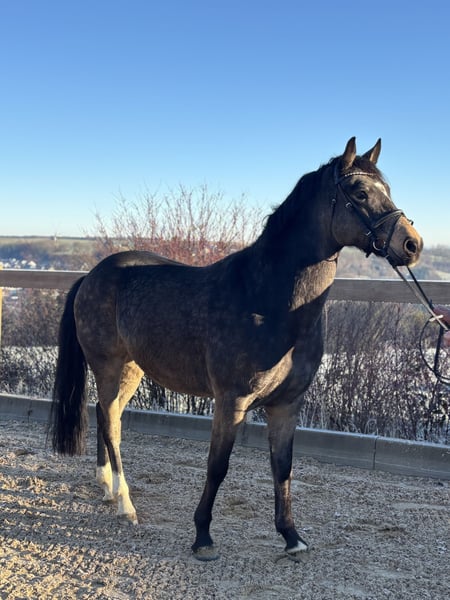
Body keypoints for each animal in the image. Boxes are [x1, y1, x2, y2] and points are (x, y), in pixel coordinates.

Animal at [51, 137, 422, 561]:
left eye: (386, 190)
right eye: (360, 193)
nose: (412, 244)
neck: (268, 299)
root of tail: (92, 275)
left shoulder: (287, 404)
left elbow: (283, 467)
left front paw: (291, 537)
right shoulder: (232, 401)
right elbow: (218, 466)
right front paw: (203, 538)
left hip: (132, 369)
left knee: (102, 414)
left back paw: (107, 488)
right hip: (110, 366)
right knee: (111, 422)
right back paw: (126, 505)